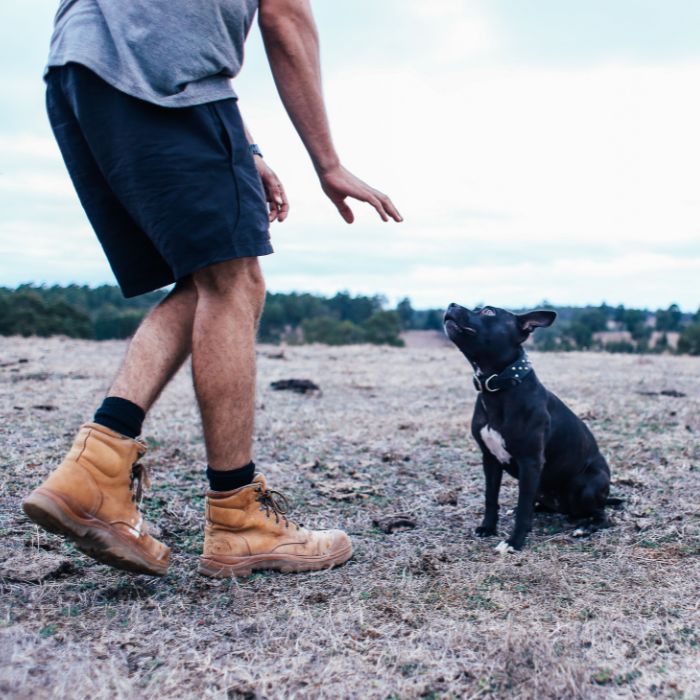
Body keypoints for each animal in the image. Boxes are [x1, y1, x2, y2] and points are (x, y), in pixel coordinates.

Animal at [446, 304, 616, 552]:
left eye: (488, 312)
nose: (451, 305)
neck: (499, 388)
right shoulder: (490, 459)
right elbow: (491, 497)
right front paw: (488, 528)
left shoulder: (530, 462)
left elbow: (524, 505)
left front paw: (514, 542)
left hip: (585, 486)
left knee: (603, 515)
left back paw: (584, 527)